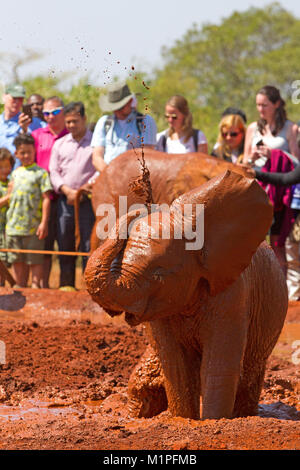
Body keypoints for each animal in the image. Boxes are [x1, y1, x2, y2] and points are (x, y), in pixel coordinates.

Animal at [85, 171, 288, 420]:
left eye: (159, 275)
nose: (140, 206)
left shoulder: (233, 295)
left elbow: (218, 367)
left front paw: (212, 422)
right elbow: (176, 366)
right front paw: (183, 420)